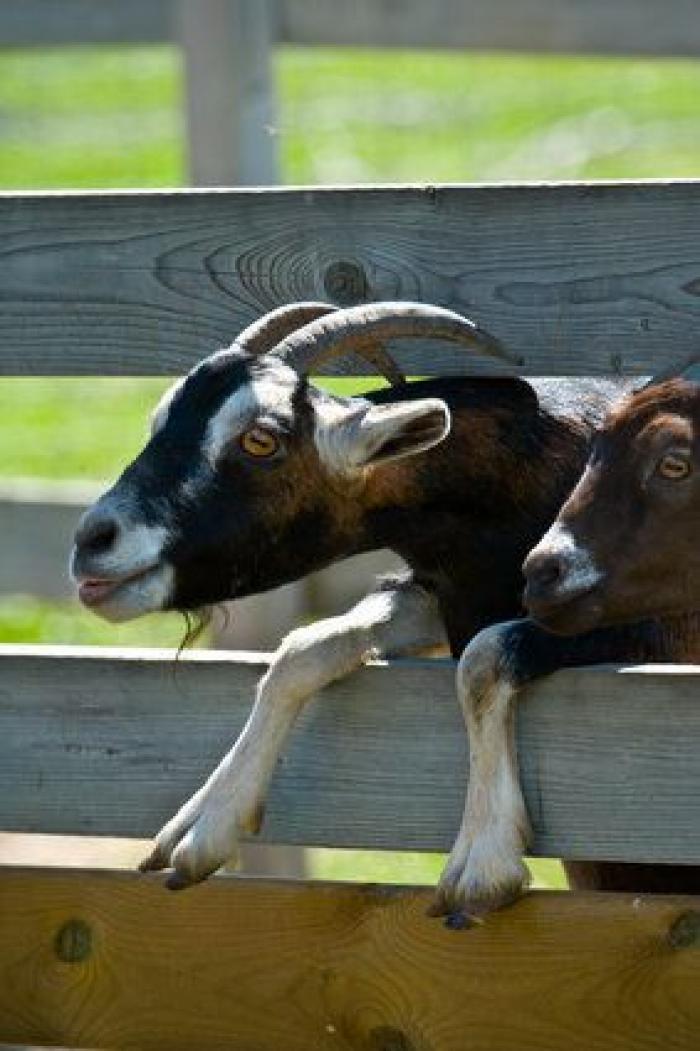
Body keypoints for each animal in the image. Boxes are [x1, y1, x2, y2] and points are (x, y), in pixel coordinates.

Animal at [71, 300, 631, 890]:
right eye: (159, 420)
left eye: (260, 439)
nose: (94, 540)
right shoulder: (439, 592)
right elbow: (303, 645)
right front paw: (204, 822)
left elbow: (483, 657)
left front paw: (484, 859)